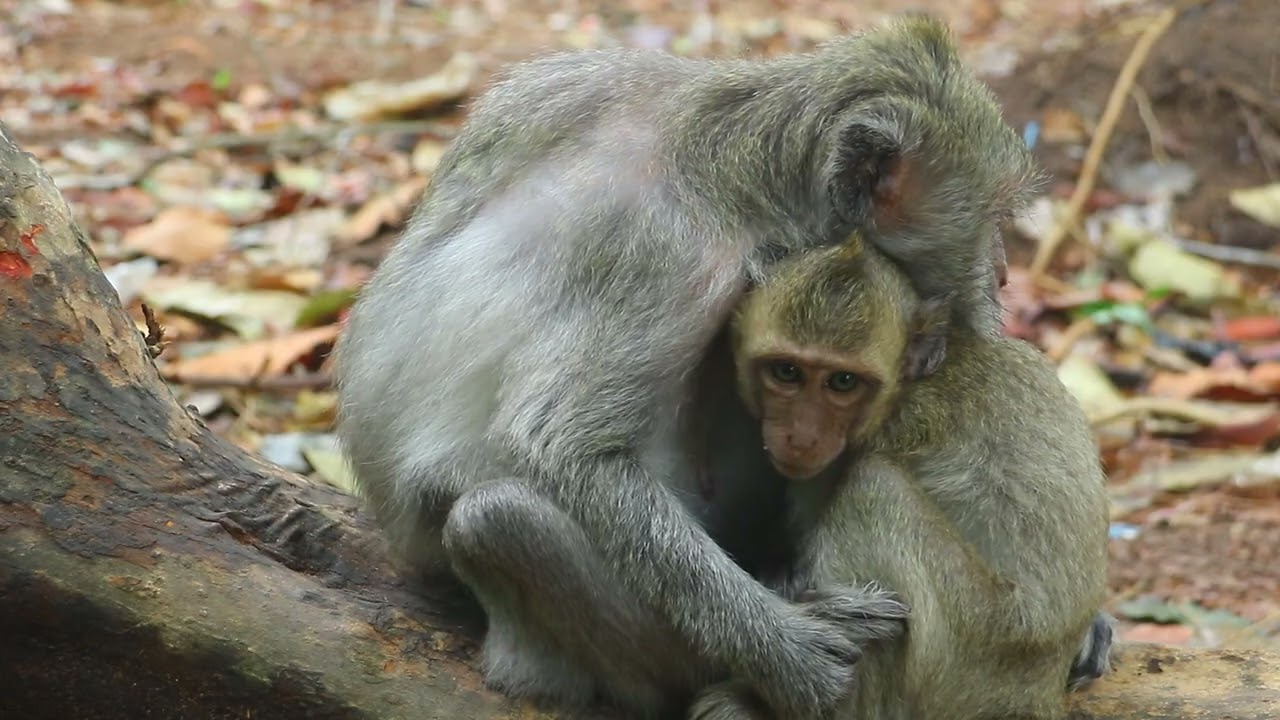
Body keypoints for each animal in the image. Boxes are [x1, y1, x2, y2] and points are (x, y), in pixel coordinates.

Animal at [334, 14, 1040, 720]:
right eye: (993, 218)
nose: (1004, 274)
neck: (737, 163)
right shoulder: (673, 258)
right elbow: (562, 446)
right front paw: (792, 652)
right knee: (497, 520)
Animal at [688, 232, 1112, 720]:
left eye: (843, 382)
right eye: (787, 371)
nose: (803, 437)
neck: (906, 387)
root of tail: (1035, 695)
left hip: (976, 655)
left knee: (873, 490)